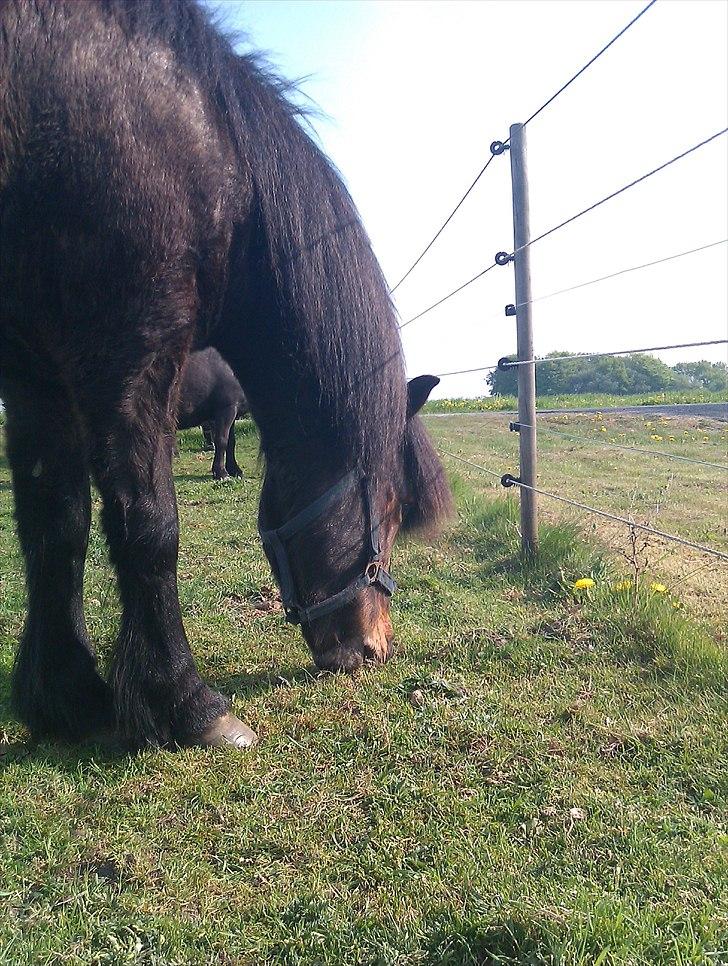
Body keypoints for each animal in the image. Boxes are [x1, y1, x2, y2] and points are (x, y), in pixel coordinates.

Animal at [176, 350, 247, 482]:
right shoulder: (226, 410)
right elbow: (222, 441)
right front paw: (221, 473)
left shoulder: (231, 413)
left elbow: (231, 442)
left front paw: (235, 470)